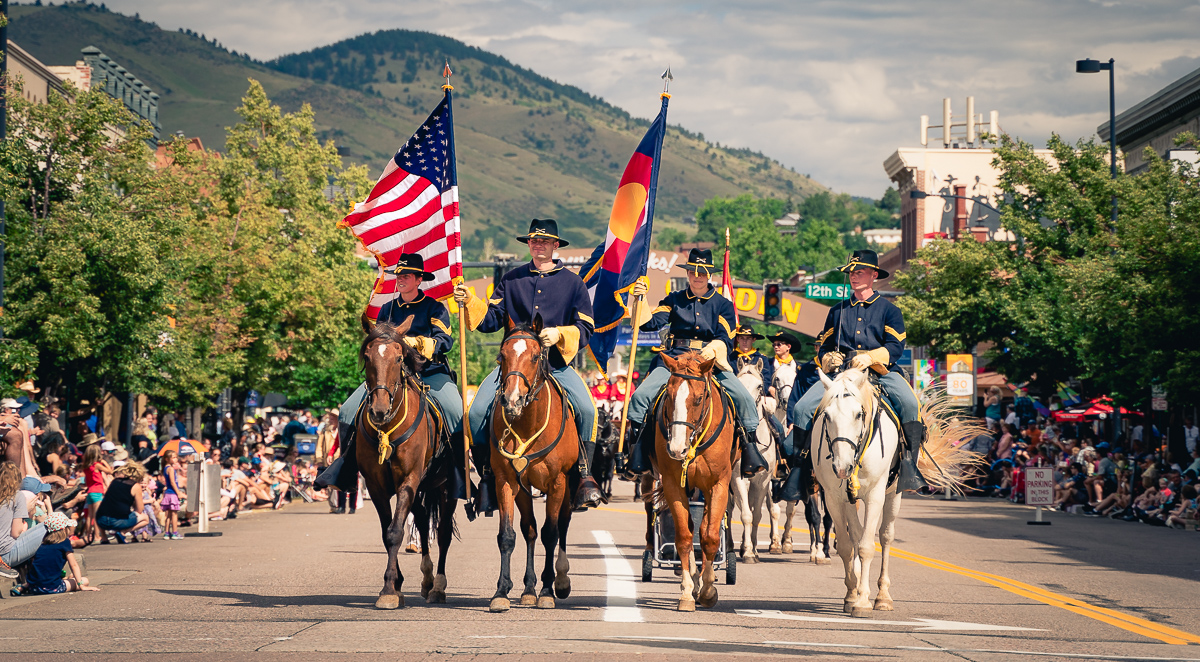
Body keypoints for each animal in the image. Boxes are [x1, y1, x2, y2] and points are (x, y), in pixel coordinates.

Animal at [355, 316, 458, 609]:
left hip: (446, 487)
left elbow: (395, 532)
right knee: (422, 521)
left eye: (399, 357)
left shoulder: (408, 480)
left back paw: (438, 586)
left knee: (443, 532)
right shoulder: (376, 485)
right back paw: (426, 580)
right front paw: (394, 585)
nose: (379, 410)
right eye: (367, 356)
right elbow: (387, 532)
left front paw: (390, 588)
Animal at [487, 319, 580, 614]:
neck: (527, 422)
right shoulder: (505, 480)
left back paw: (560, 581)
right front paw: (501, 592)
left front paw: (548, 591)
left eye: (536, 356)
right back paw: (528, 590)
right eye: (501, 356)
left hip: (568, 489)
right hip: (524, 489)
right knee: (529, 529)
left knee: (562, 525)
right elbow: (507, 535)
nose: (512, 400)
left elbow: (551, 533)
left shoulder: (558, 482)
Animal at [652, 352, 734, 609]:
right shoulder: (672, 485)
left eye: (698, 399)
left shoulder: (719, 485)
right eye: (669, 396)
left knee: (706, 529)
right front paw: (688, 591)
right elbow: (684, 538)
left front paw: (708, 590)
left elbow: (710, 537)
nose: (676, 449)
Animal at [724, 362, 782, 563]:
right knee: (729, 510)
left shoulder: (762, 481)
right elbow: (746, 515)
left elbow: (756, 514)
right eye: (738, 383)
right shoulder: (738, 479)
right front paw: (748, 551)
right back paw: (731, 545)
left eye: (759, 386)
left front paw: (753, 549)